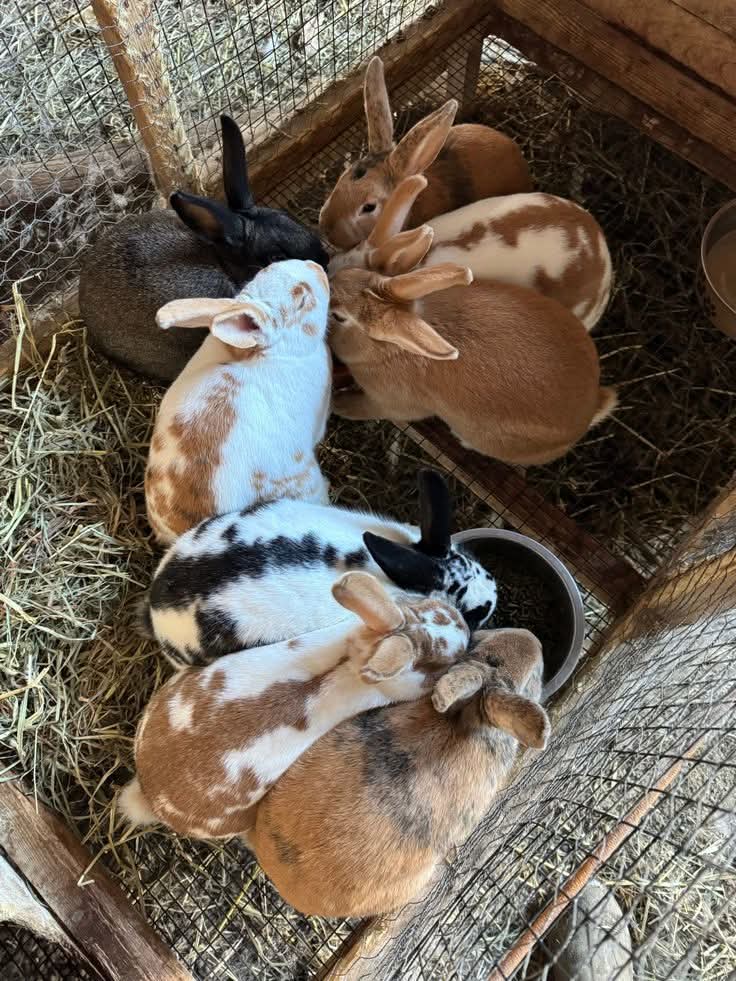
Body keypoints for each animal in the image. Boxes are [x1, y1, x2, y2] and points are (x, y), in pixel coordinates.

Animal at [328, 237, 617, 466]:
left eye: (338, 317)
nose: (328, 276)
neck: (386, 348)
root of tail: (590, 410)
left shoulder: (389, 404)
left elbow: (365, 408)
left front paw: (337, 405)